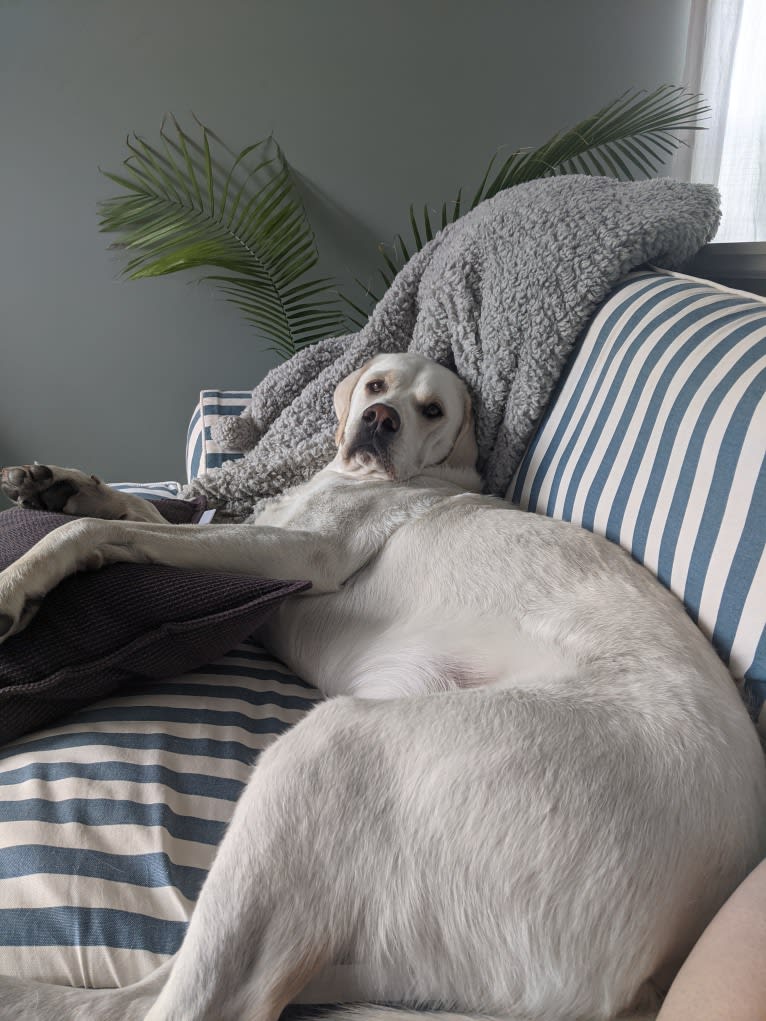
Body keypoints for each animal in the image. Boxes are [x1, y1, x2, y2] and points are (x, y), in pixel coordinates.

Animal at [1, 353, 766, 1021]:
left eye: (432, 409)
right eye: (377, 384)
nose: (379, 418)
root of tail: (652, 978)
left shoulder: (298, 554)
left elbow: (96, 532)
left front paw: (21, 579)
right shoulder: (256, 532)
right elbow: (144, 515)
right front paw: (56, 484)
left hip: (334, 750)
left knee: (182, 1004)